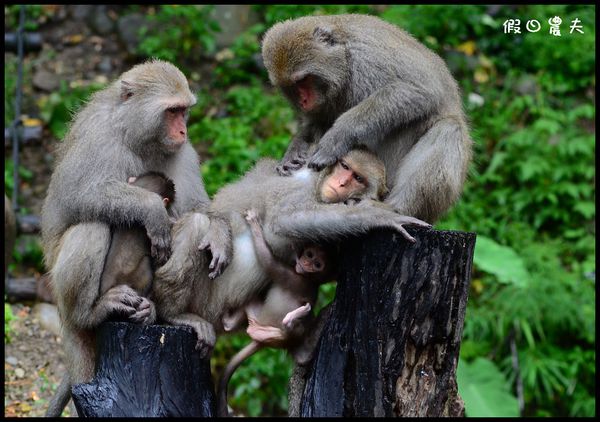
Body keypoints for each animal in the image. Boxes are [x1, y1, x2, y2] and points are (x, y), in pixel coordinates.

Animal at [41, 60, 231, 418]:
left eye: (184, 111)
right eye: (172, 111)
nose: (183, 132)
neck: (135, 134)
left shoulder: (183, 153)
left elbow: (197, 208)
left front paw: (219, 233)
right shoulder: (98, 137)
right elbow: (75, 195)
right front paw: (151, 208)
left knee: (192, 225)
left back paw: (166, 313)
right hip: (61, 285)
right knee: (92, 225)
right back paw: (91, 312)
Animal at [262, 13, 474, 224]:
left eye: (303, 80)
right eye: (291, 86)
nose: (304, 101)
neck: (345, 61)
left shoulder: (368, 59)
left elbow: (418, 90)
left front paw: (337, 137)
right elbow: (316, 122)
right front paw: (294, 151)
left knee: (448, 128)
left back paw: (394, 208)